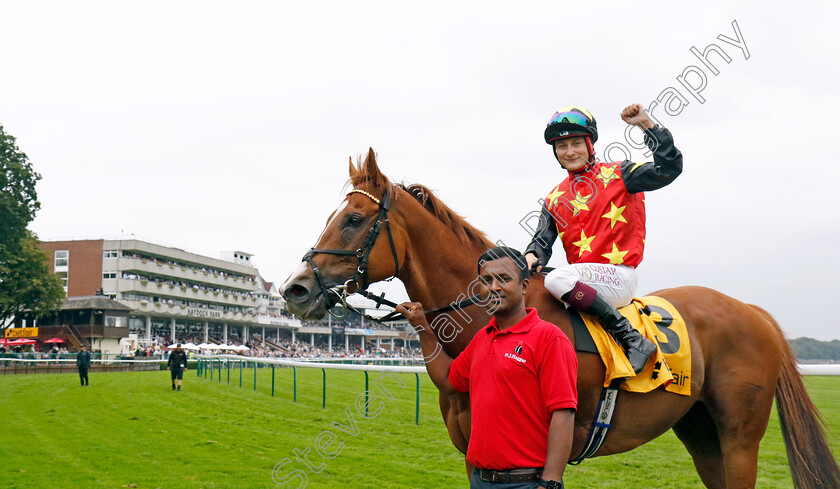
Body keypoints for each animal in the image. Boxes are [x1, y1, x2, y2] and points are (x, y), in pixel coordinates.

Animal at [282, 150, 840, 488]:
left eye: (354, 219)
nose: (295, 288)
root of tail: (753, 311)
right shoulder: (474, 452)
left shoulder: (548, 447)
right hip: (702, 433)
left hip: (740, 437)